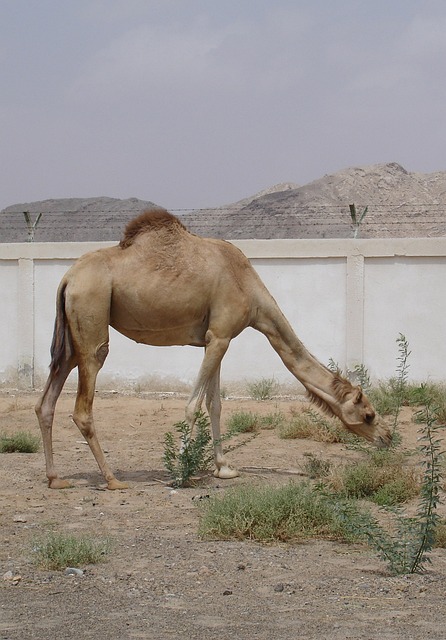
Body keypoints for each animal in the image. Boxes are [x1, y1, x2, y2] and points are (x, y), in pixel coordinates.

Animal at [35, 208, 390, 488]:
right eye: (369, 414)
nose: (388, 437)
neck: (251, 290)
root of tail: (67, 278)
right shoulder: (219, 335)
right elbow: (194, 405)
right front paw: (180, 472)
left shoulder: (217, 337)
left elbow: (215, 404)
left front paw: (224, 469)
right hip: (92, 315)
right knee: (84, 401)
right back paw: (112, 480)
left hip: (70, 338)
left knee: (46, 400)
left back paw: (56, 478)